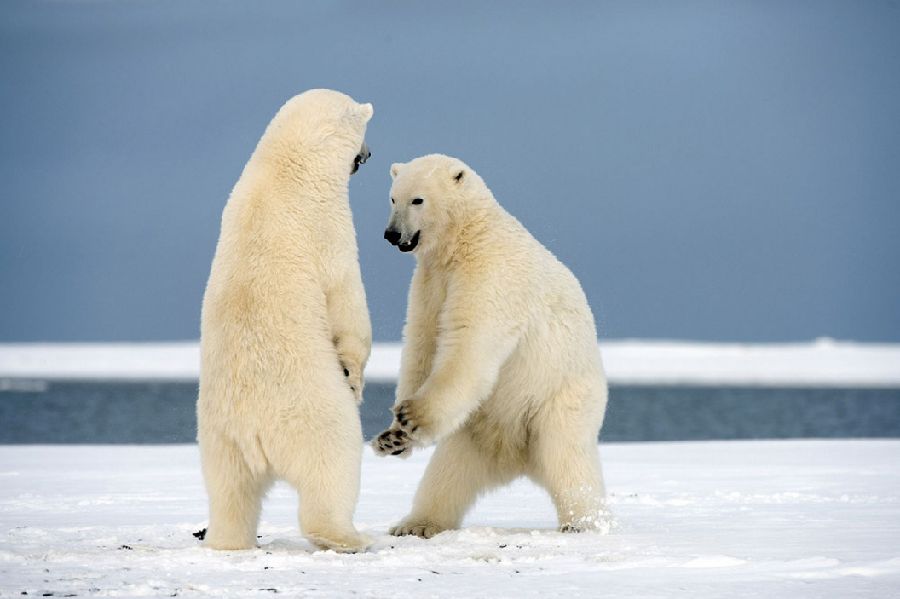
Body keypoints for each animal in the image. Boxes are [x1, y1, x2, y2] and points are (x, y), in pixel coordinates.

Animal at [197, 89, 374, 553]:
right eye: (365, 130)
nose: (368, 154)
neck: (284, 168)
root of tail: (253, 430)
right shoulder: (327, 224)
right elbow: (346, 297)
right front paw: (354, 374)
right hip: (310, 411)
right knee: (333, 465)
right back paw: (350, 536)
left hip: (218, 437)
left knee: (230, 492)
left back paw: (227, 540)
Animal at [373, 154, 609, 537]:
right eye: (393, 198)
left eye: (417, 200)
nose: (392, 234)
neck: (467, 235)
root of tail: (517, 458)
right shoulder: (430, 281)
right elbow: (422, 343)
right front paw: (393, 437)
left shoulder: (489, 273)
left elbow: (469, 343)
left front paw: (411, 415)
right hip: (476, 429)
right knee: (447, 474)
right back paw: (415, 524)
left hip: (558, 400)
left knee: (568, 458)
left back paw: (584, 523)